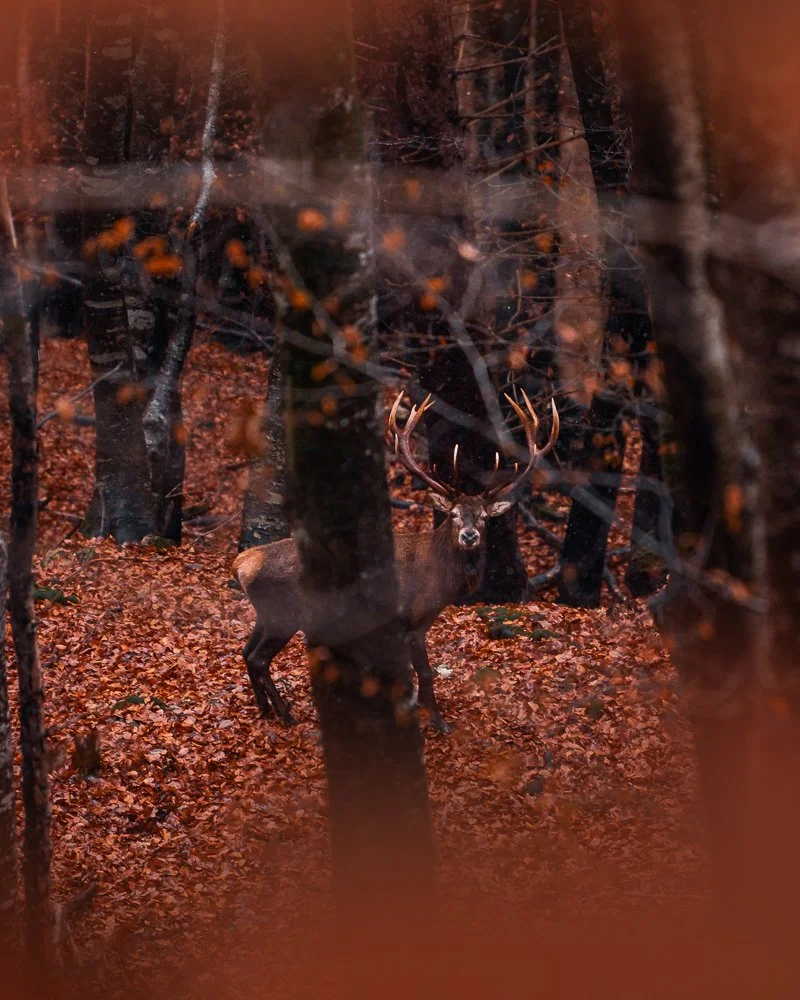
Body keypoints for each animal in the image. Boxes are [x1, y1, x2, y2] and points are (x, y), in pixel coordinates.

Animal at [233, 390, 559, 731]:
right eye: (454, 514)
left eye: (484, 517)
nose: (469, 536)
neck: (443, 580)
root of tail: (240, 564)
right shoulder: (412, 619)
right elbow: (424, 673)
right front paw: (437, 722)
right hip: (284, 614)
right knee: (258, 657)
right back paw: (285, 714)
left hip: (266, 614)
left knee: (246, 651)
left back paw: (265, 709)